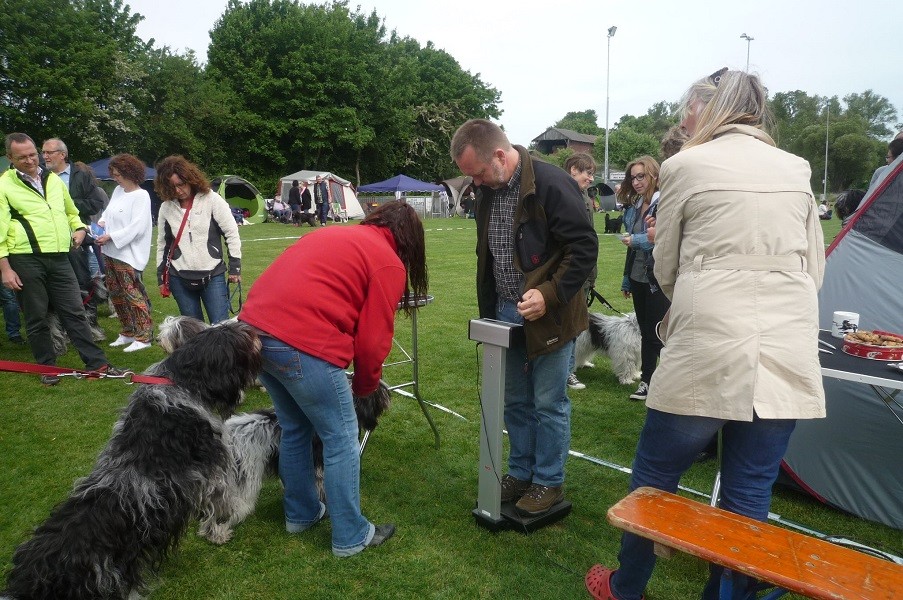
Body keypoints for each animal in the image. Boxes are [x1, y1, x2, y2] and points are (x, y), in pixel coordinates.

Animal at [3, 322, 264, 596]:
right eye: (242, 339)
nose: (249, 327)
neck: (180, 383)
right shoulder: (214, 472)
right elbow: (220, 506)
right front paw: (218, 533)